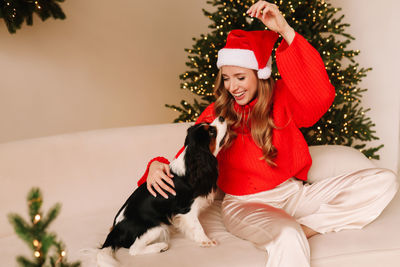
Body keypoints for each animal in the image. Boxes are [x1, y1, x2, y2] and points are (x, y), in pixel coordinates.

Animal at [97, 117, 227, 266]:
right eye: (211, 132)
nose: (221, 117)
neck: (191, 165)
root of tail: (116, 230)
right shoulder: (187, 210)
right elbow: (197, 226)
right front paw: (206, 240)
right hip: (157, 226)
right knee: (134, 249)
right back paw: (161, 246)